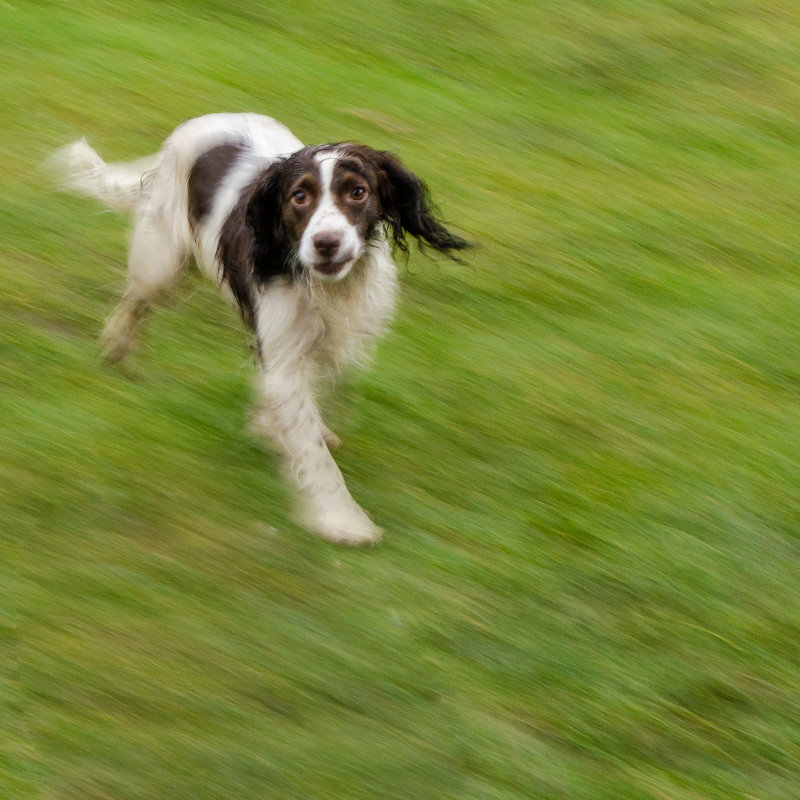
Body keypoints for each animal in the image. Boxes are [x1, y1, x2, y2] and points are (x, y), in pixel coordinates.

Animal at [53, 112, 466, 548]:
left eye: (357, 191)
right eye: (299, 197)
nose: (326, 243)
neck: (325, 289)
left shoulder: (343, 338)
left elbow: (316, 393)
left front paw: (275, 426)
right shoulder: (284, 352)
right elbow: (312, 449)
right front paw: (341, 520)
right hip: (162, 260)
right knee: (137, 297)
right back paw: (116, 343)